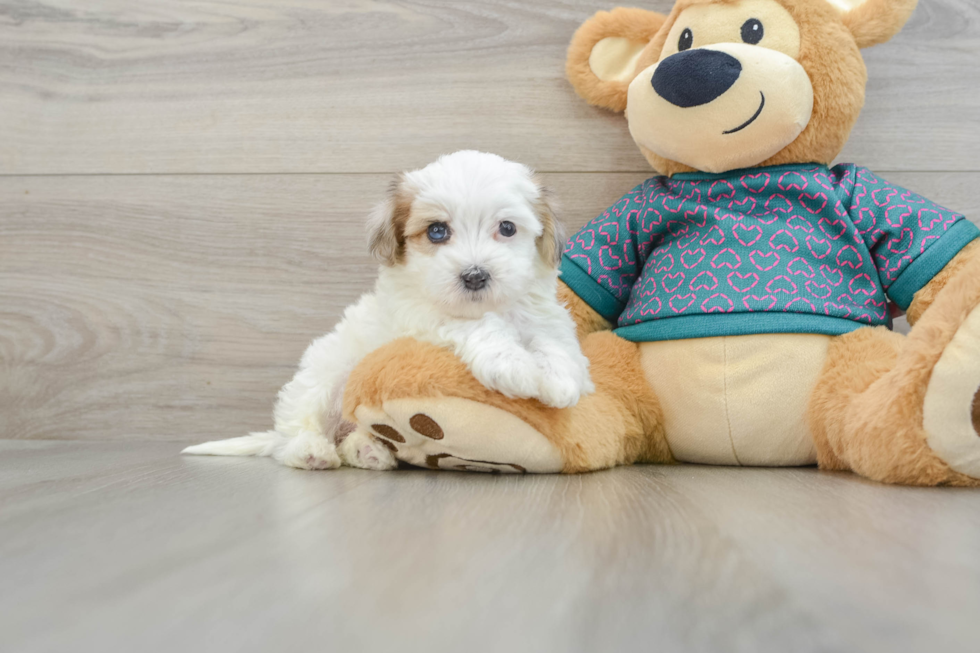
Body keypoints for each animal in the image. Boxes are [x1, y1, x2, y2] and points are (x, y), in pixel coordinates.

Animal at [187, 150, 592, 468]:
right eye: (437, 231)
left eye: (507, 228)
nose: (475, 275)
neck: (491, 307)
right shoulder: (421, 316)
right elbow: (474, 326)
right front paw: (513, 365)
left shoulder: (541, 313)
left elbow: (552, 337)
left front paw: (560, 379)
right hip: (325, 376)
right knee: (297, 429)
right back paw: (311, 451)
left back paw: (368, 450)